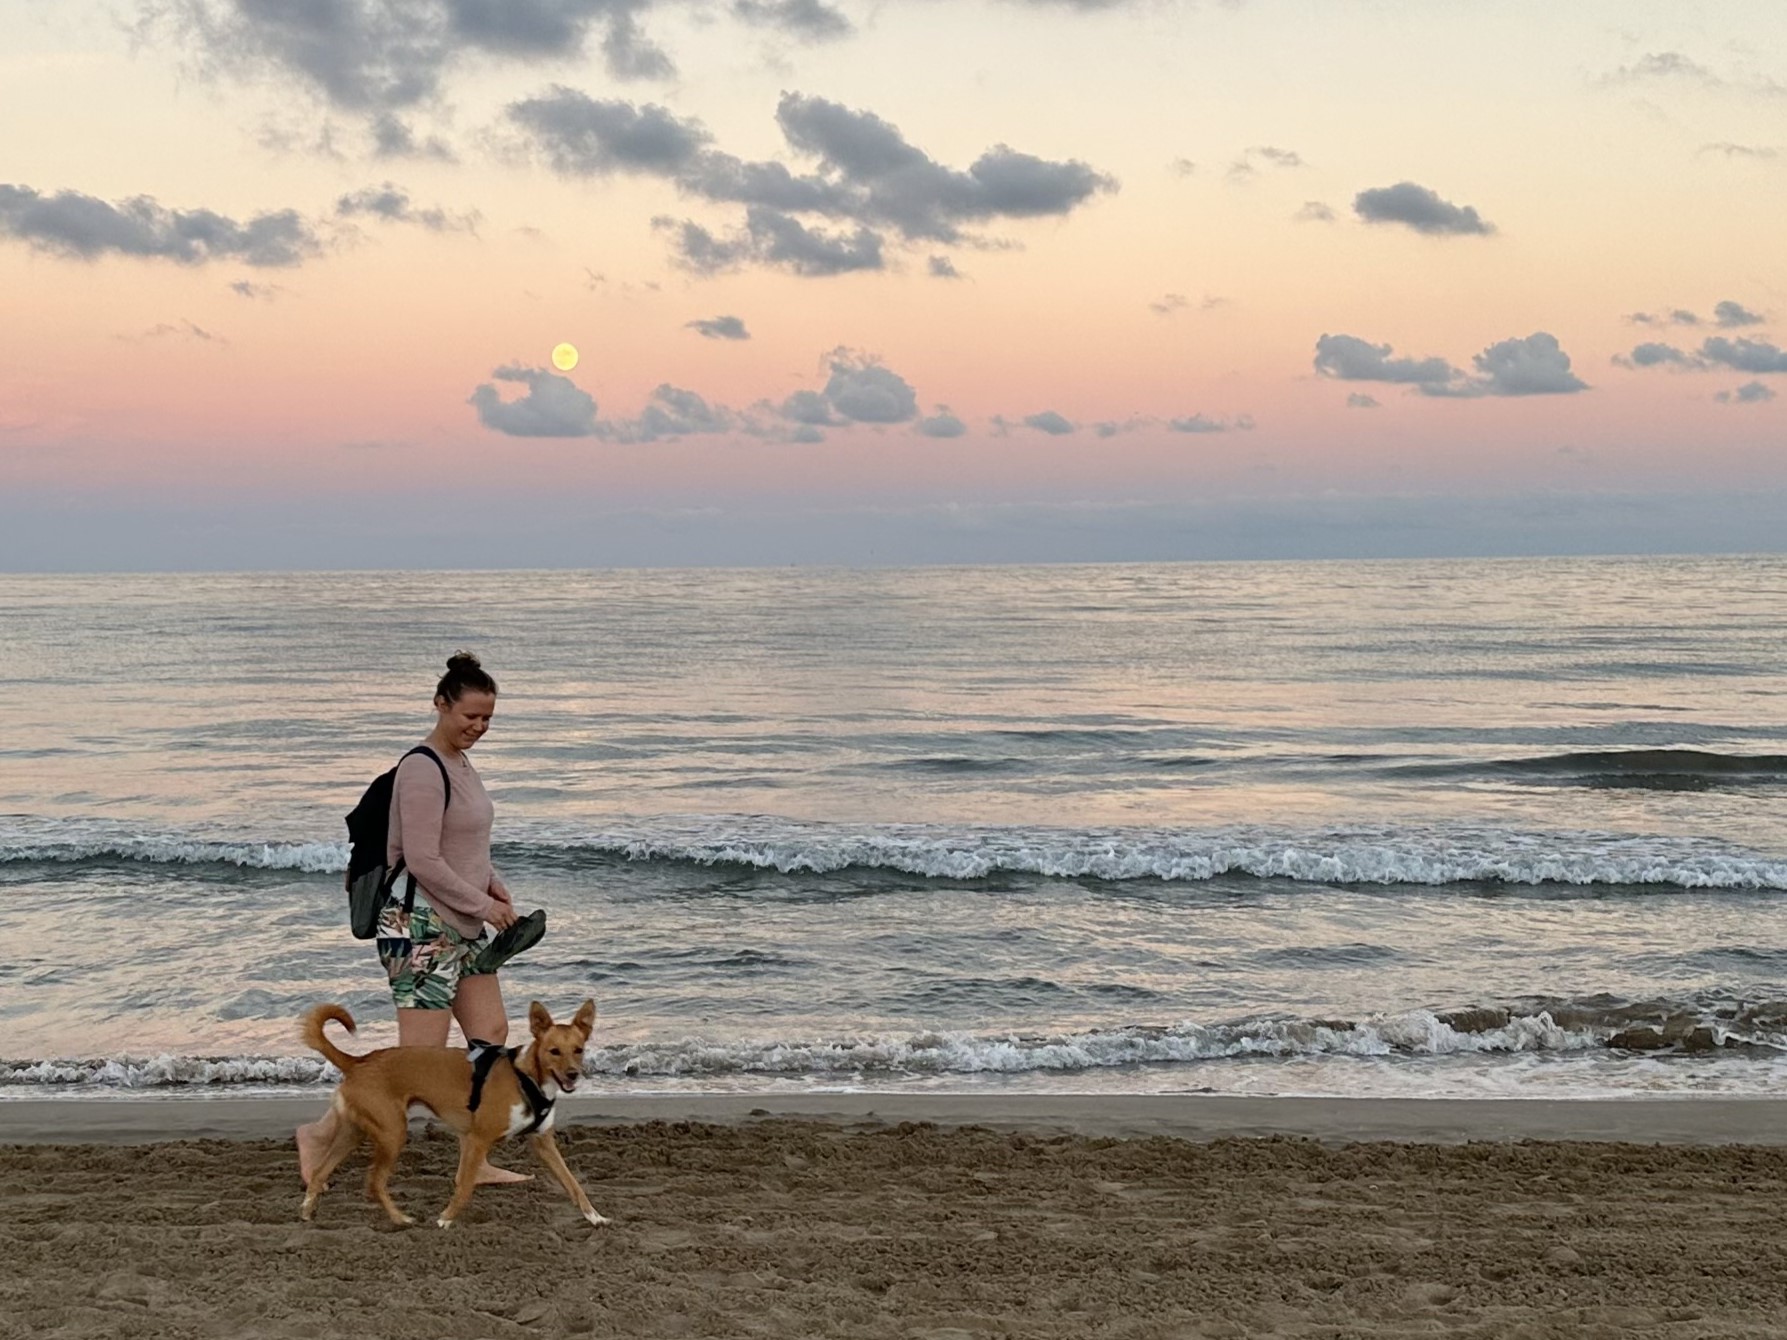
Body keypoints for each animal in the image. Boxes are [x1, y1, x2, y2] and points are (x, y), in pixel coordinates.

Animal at [296, 1000, 611, 1236]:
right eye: (553, 1051)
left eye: (579, 1050)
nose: (573, 1074)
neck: (527, 1078)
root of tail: (358, 1061)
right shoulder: (477, 1139)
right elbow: (465, 1186)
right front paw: (446, 1218)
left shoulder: (543, 1143)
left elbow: (573, 1184)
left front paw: (594, 1216)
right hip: (392, 1133)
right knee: (374, 1182)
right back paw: (400, 1219)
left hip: (354, 1132)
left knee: (321, 1172)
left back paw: (308, 1211)